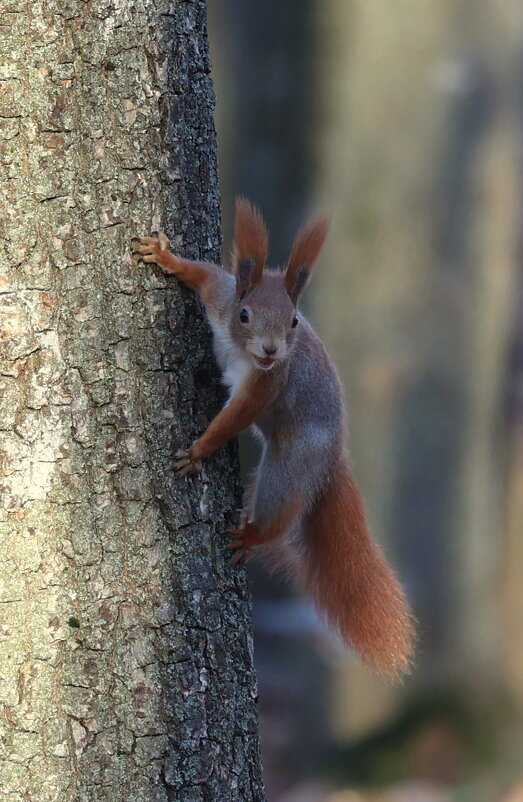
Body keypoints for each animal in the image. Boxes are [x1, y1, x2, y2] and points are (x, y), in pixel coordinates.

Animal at [137, 198, 416, 676]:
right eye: (246, 315)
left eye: (294, 321)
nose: (271, 350)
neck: (242, 350)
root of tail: (334, 454)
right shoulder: (222, 297)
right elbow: (204, 273)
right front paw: (166, 257)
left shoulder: (267, 386)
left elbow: (233, 420)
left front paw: (198, 451)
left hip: (289, 467)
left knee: (281, 515)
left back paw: (252, 537)